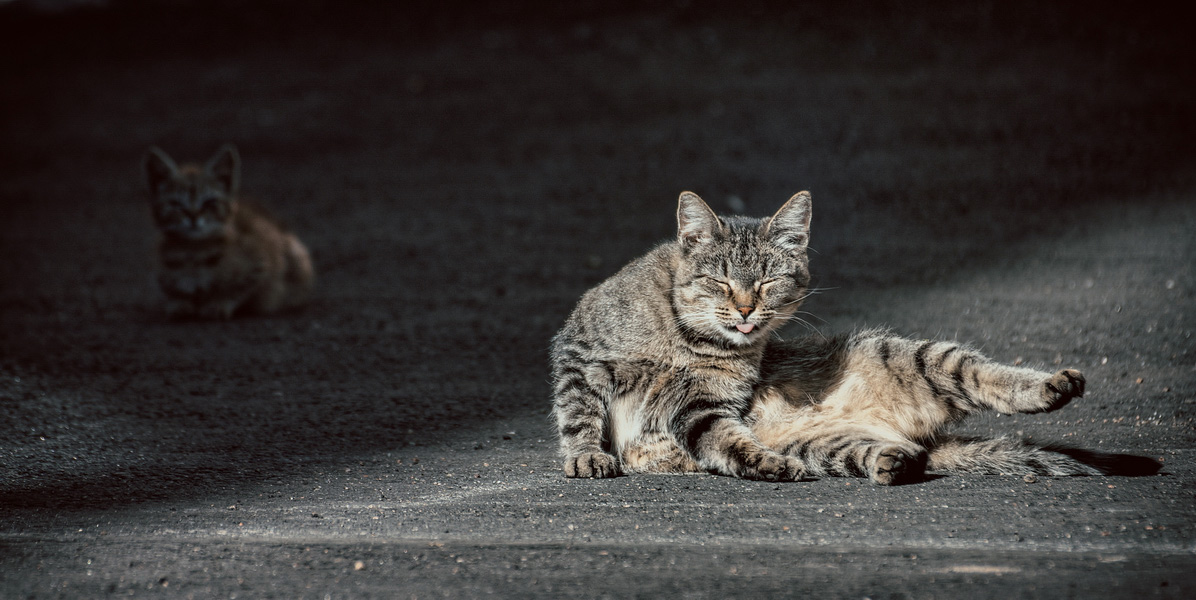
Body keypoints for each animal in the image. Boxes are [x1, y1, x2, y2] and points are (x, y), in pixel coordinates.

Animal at [554, 192, 1114, 482]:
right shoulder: (578, 357)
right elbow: (579, 415)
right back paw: (892, 460)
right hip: (827, 443)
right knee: (891, 455)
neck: (686, 334)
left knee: (986, 374)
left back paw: (1053, 386)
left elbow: (725, 436)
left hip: (920, 356)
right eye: (721, 280)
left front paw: (762, 462)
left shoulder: (704, 404)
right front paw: (587, 455)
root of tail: (910, 434)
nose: (745, 308)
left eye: (768, 282)